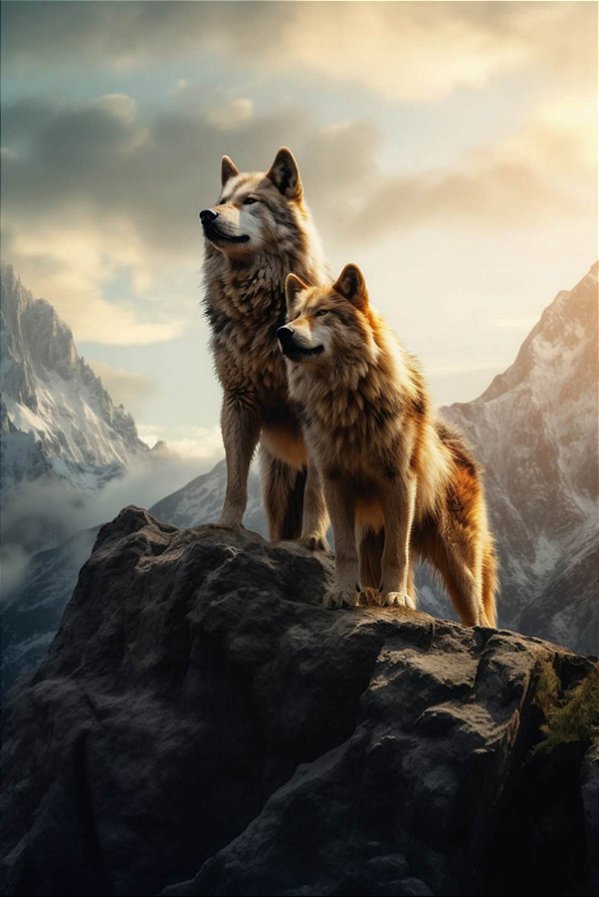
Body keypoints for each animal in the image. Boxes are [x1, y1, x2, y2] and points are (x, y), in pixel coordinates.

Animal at [200, 148, 329, 545]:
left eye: (250, 201)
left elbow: (317, 491)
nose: (205, 215)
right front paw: (225, 525)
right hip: (277, 488)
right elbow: (235, 482)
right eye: (221, 202)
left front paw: (313, 539)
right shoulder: (237, 402)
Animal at [278, 263, 497, 627]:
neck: (348, 400)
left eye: (322, 313)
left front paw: (396, 598)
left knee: (477, 614)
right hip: (373, 539)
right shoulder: (334, 482)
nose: (282, 332)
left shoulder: (399, 481)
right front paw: (342, 594)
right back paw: (369, 595)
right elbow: (345, 551)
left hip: (458, 564)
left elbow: (396, 553)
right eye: (295, 315)